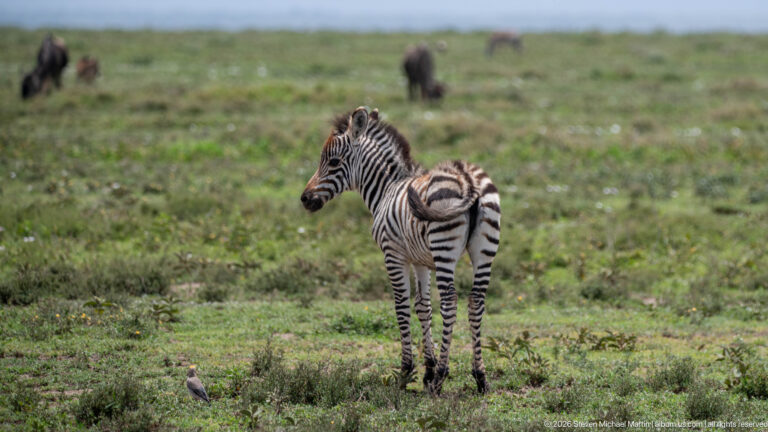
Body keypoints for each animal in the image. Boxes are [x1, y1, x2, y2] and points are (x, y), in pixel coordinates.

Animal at [301, 107, 501, 395]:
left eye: (334, 162)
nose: (305, 199)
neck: (386, 188)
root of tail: (467, 178)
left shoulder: (393, 254)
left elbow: (401, 305)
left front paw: (408, 372)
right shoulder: (420, 260)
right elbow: (423, 306)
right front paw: (427, 370)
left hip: (445, 247)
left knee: (450, 301)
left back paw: (441, 377)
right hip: (485, 249)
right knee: (476, 301)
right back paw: (480, 377)